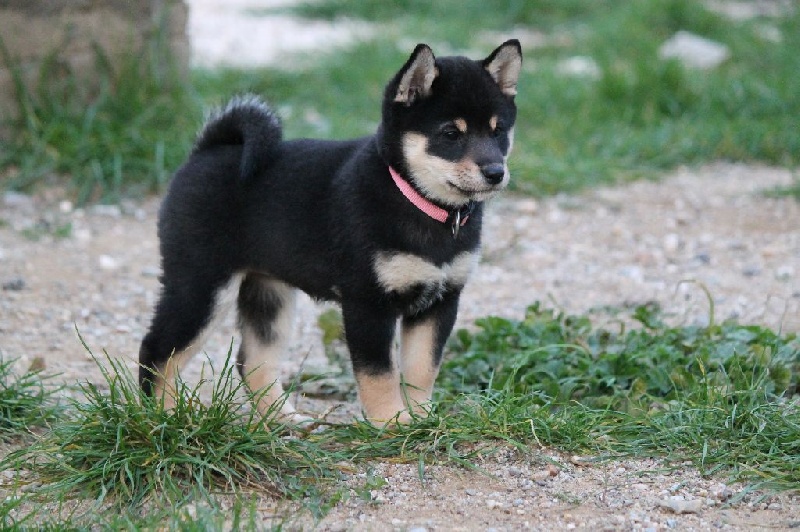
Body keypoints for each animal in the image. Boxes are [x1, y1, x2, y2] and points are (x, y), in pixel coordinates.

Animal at [140, 40, 520, 424]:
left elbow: (422, 369)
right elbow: (380, 374)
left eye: (498, 131)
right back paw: (162, 417)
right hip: (201, 285)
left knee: (253, 362)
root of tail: (206, 151)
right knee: (156, 352)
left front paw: (423, 419)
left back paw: (282, 419)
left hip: (269, 293)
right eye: (450, 134)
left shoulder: (440, 301)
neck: (420, 202)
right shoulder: (368, 303)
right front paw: (392, 422)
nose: (495, 172)